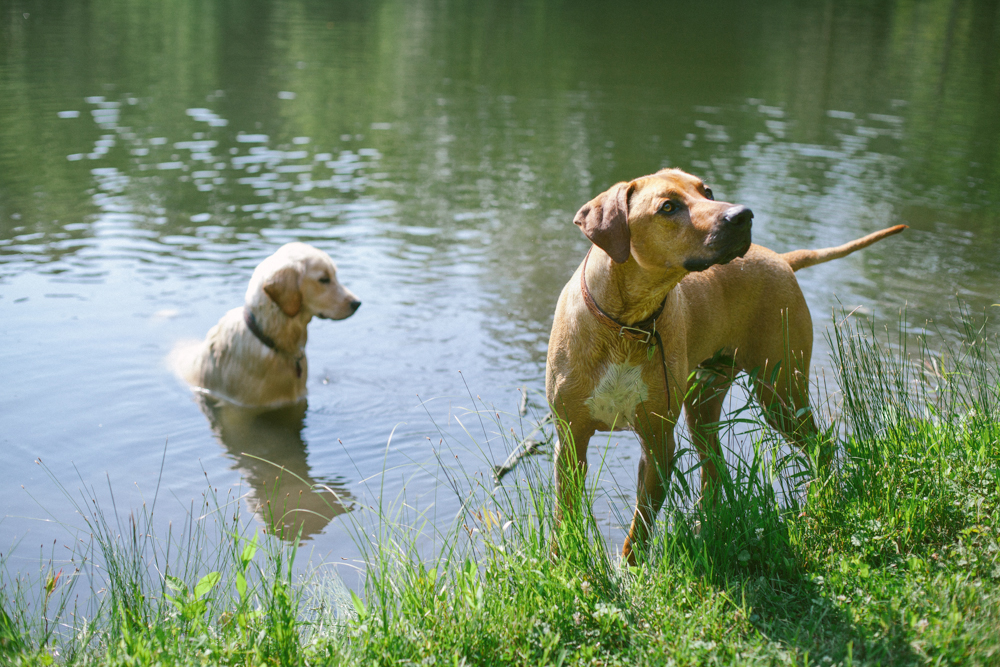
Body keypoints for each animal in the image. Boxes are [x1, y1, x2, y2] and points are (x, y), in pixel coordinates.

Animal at [548, 168, 908, 564]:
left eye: (707, 190)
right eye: (668, 207)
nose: (743, 215)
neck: (628, 325)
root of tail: (781, 258)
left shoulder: (657, 442)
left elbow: (641, 525)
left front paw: (631, 568)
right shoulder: (571, 439)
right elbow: (566, 516)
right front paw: (565, 561)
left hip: (780, 392)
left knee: (821, 446)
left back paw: (822, 500)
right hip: (705, 403)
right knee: (715, 467)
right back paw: (706, 526)